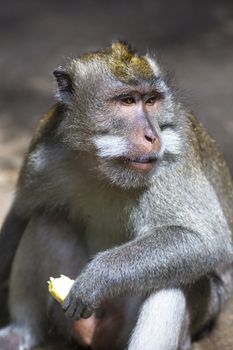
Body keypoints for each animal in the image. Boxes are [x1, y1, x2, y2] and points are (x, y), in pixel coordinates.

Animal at [0, 41, 232, 350]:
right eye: (127, 101)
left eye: (151, 101)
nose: (152, 136)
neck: (104, 164)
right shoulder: (43, 148)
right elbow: (20, 215)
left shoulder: (175, 159)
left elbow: (207, 242)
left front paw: (99, 276)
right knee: (46, 220)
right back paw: (22, 332)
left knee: (173, 280)